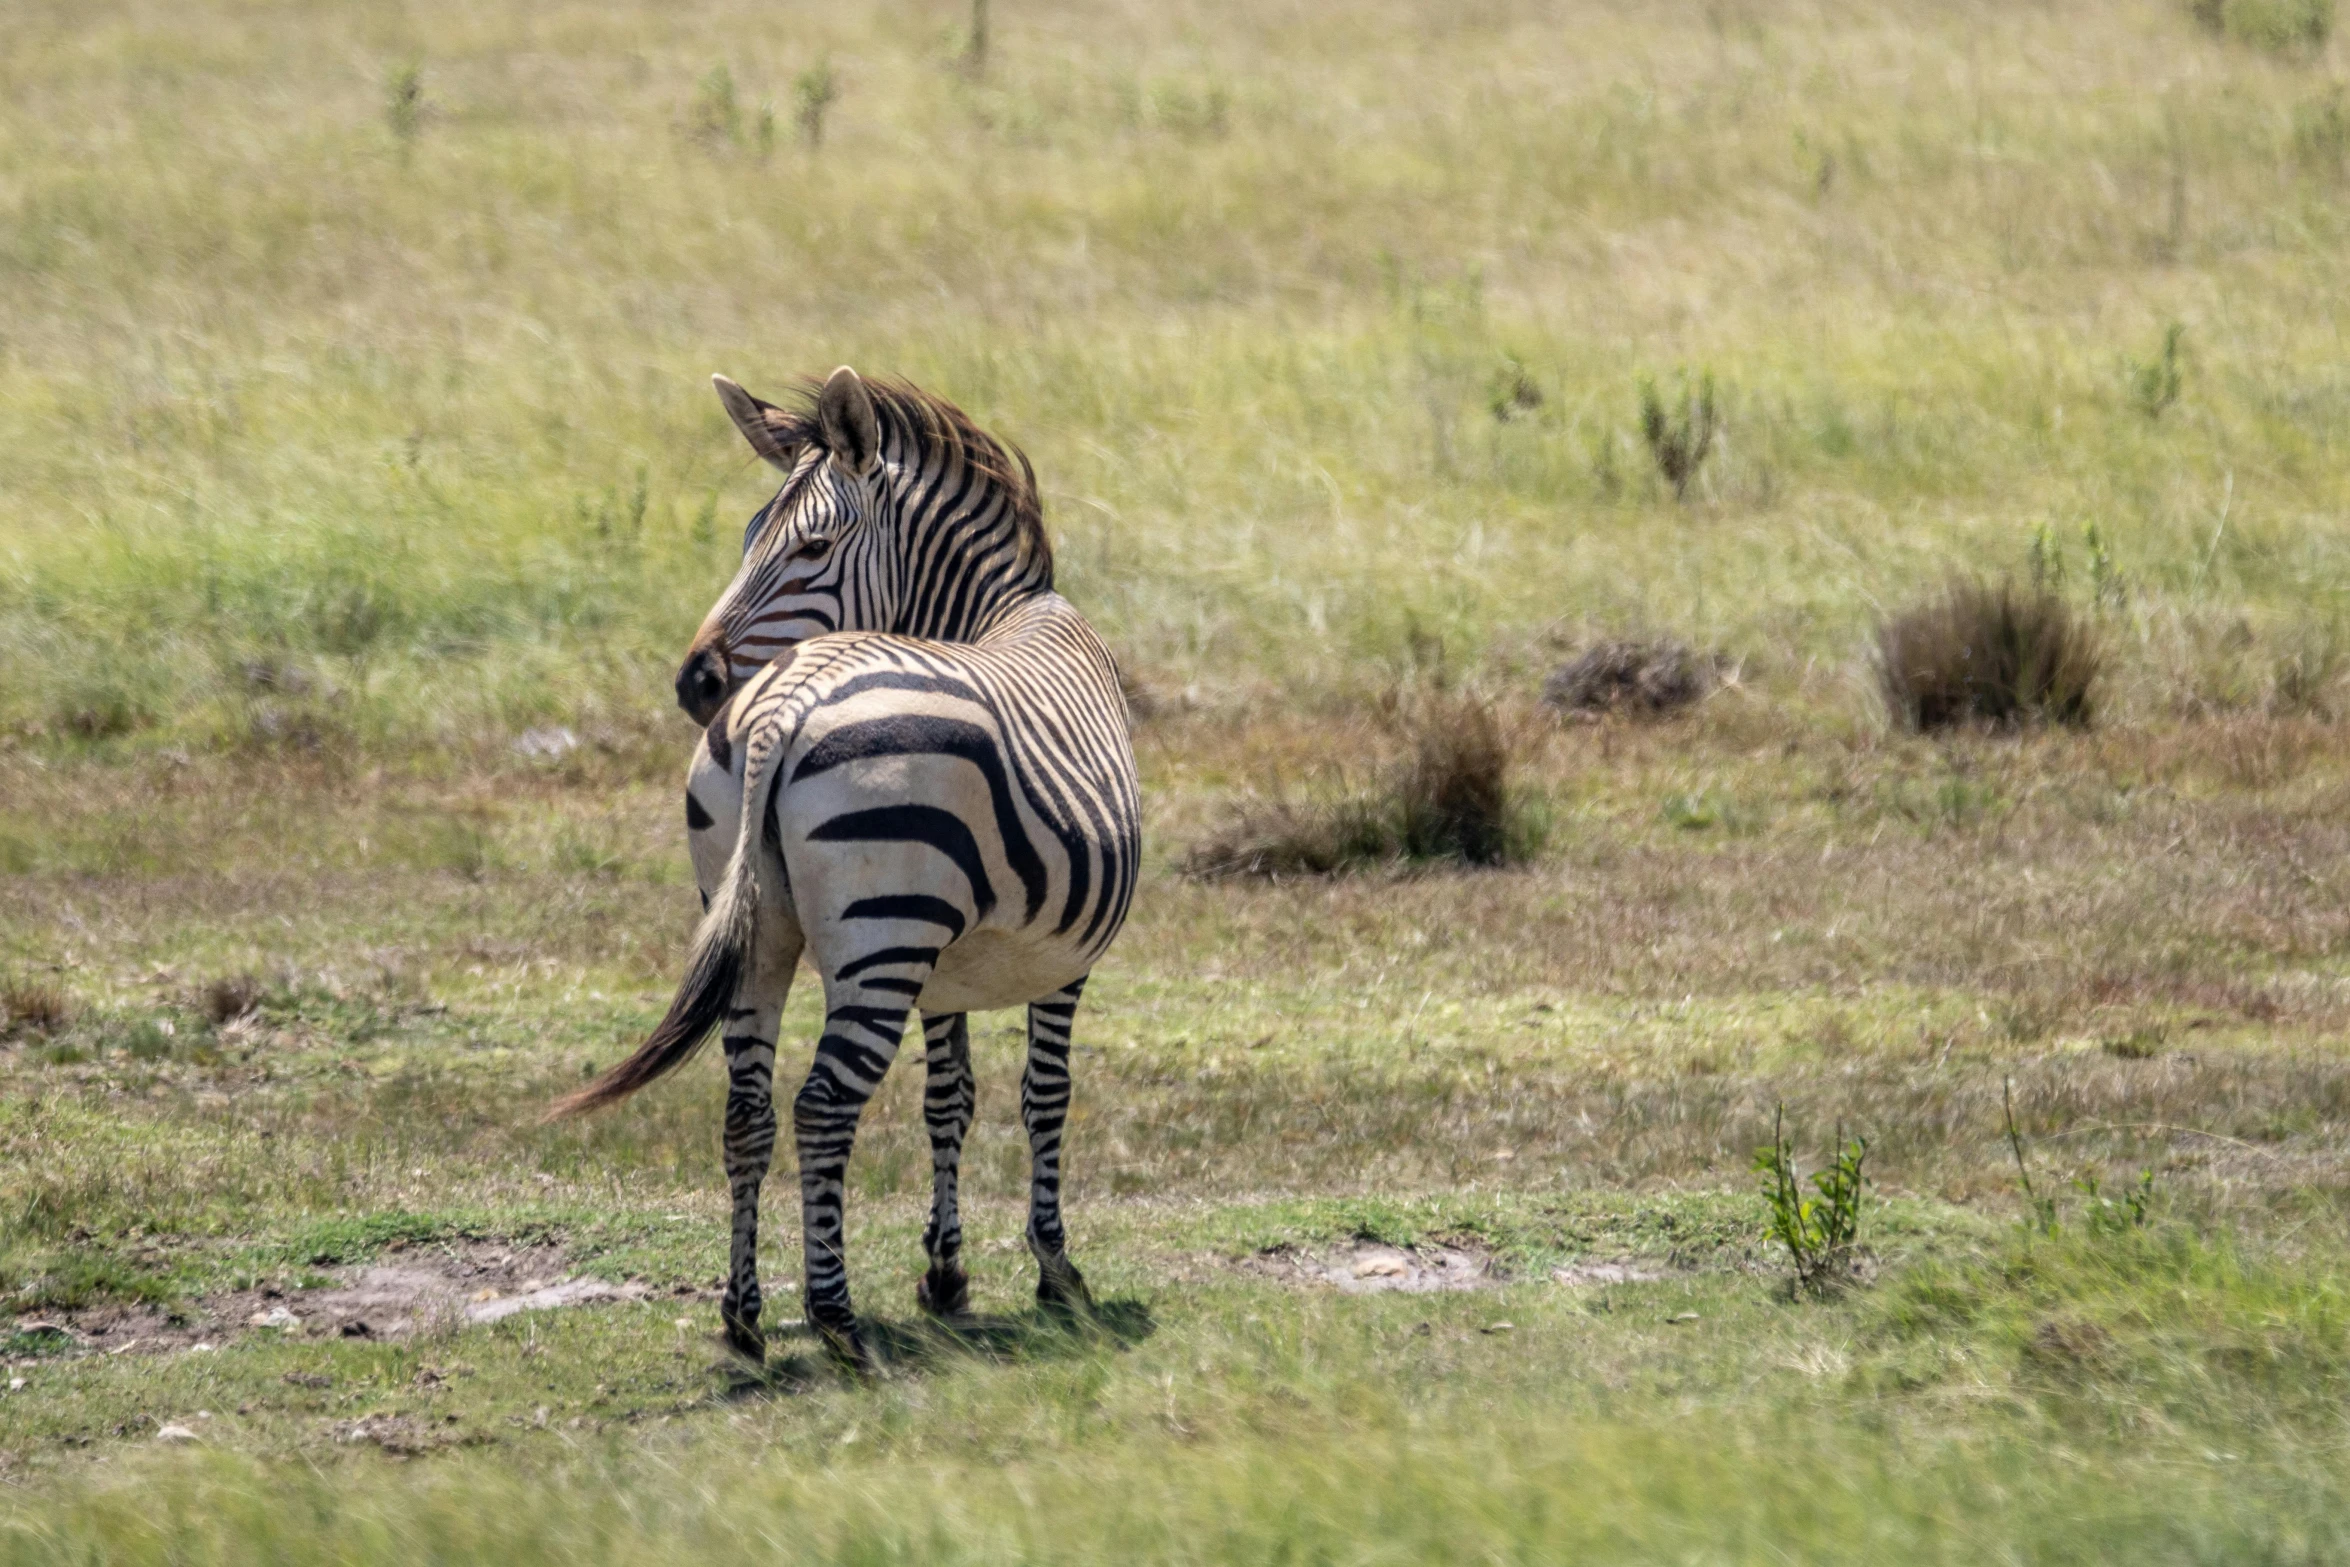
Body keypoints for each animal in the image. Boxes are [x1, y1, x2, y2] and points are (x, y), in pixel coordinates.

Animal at [549, 368, 1137, 1372]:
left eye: (810, 545)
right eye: (751, 536)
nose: (694, 682)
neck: (1000, 616)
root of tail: (782, 707)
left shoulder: (948, 968)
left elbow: (950, 1098)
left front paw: (946, 1273)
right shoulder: (1064, 956)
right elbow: (1043, 1095)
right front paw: (1056, 1269)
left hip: (758, 931)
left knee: (747, 1106)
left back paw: (743, 1315)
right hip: (881, 940)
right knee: (822, 1106)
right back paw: (835, 1319)